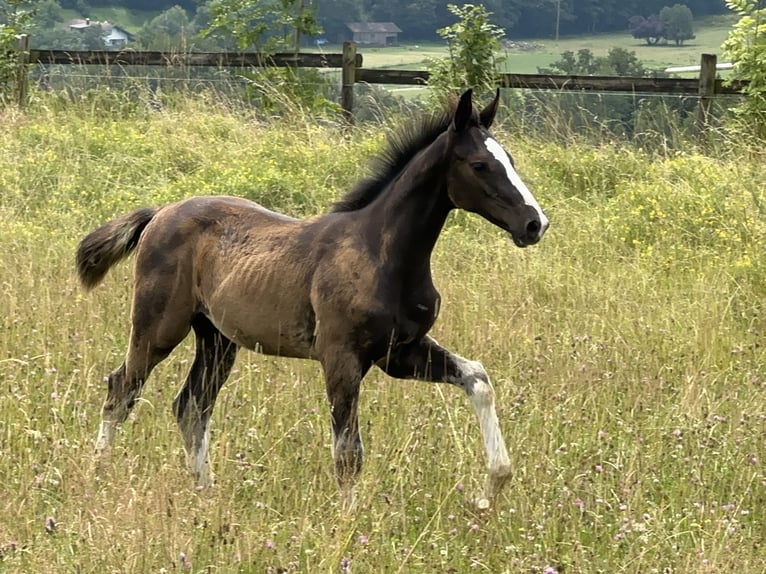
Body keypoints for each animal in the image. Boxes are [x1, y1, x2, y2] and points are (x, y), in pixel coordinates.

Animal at [76, 89, 549, 509]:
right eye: (480, 164)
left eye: (511, 160)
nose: (534, 223)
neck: (381, 252)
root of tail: (160, 213)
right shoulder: (341, 357)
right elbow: (348, 452)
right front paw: (349, 526)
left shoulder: (401, 353)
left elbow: (478, 378)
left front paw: (489, 492)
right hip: (158, 327)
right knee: (121, 389)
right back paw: (97, 475)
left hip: (216, 339)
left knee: (192, 407)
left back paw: (205, 494)